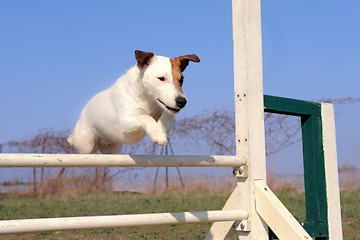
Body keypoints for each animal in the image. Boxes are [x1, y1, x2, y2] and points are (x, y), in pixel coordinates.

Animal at [67, 51, 200, 154]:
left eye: (181, 79)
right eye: (161, 78)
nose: (182, 102)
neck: (148, 100)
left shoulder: (164, 109)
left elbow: (166, 117)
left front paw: (162, 128)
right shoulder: (127, 119)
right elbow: (146, 117)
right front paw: (158, 135)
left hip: (112, 149)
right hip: (87, 144)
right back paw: (71, 139)